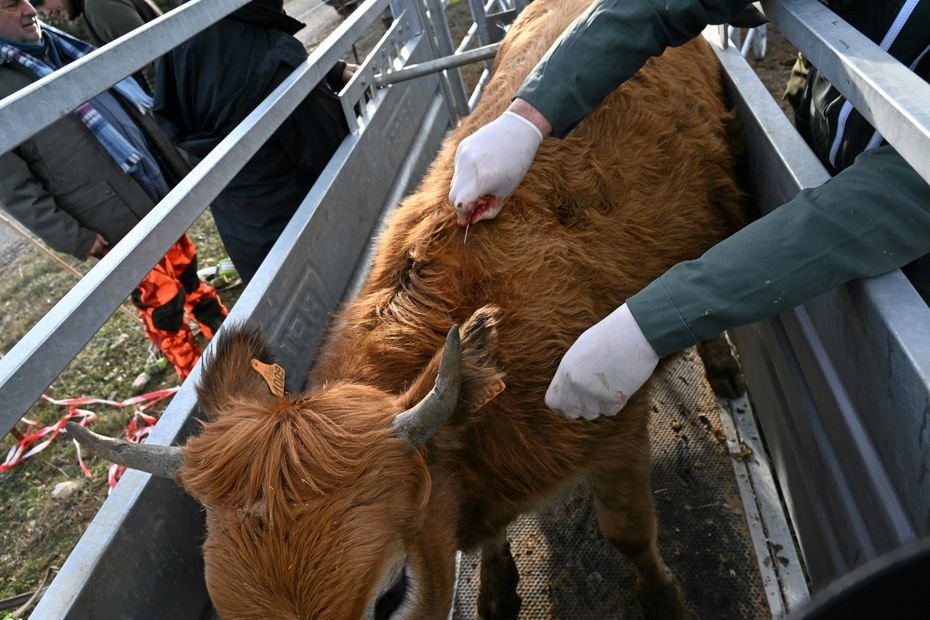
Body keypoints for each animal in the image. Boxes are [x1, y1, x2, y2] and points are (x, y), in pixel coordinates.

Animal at [67, 0, 746, 616]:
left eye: (391, 593)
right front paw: (495, 591)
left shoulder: (616, 430)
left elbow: (627, 532)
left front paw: (663, 602)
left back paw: (724, 370)